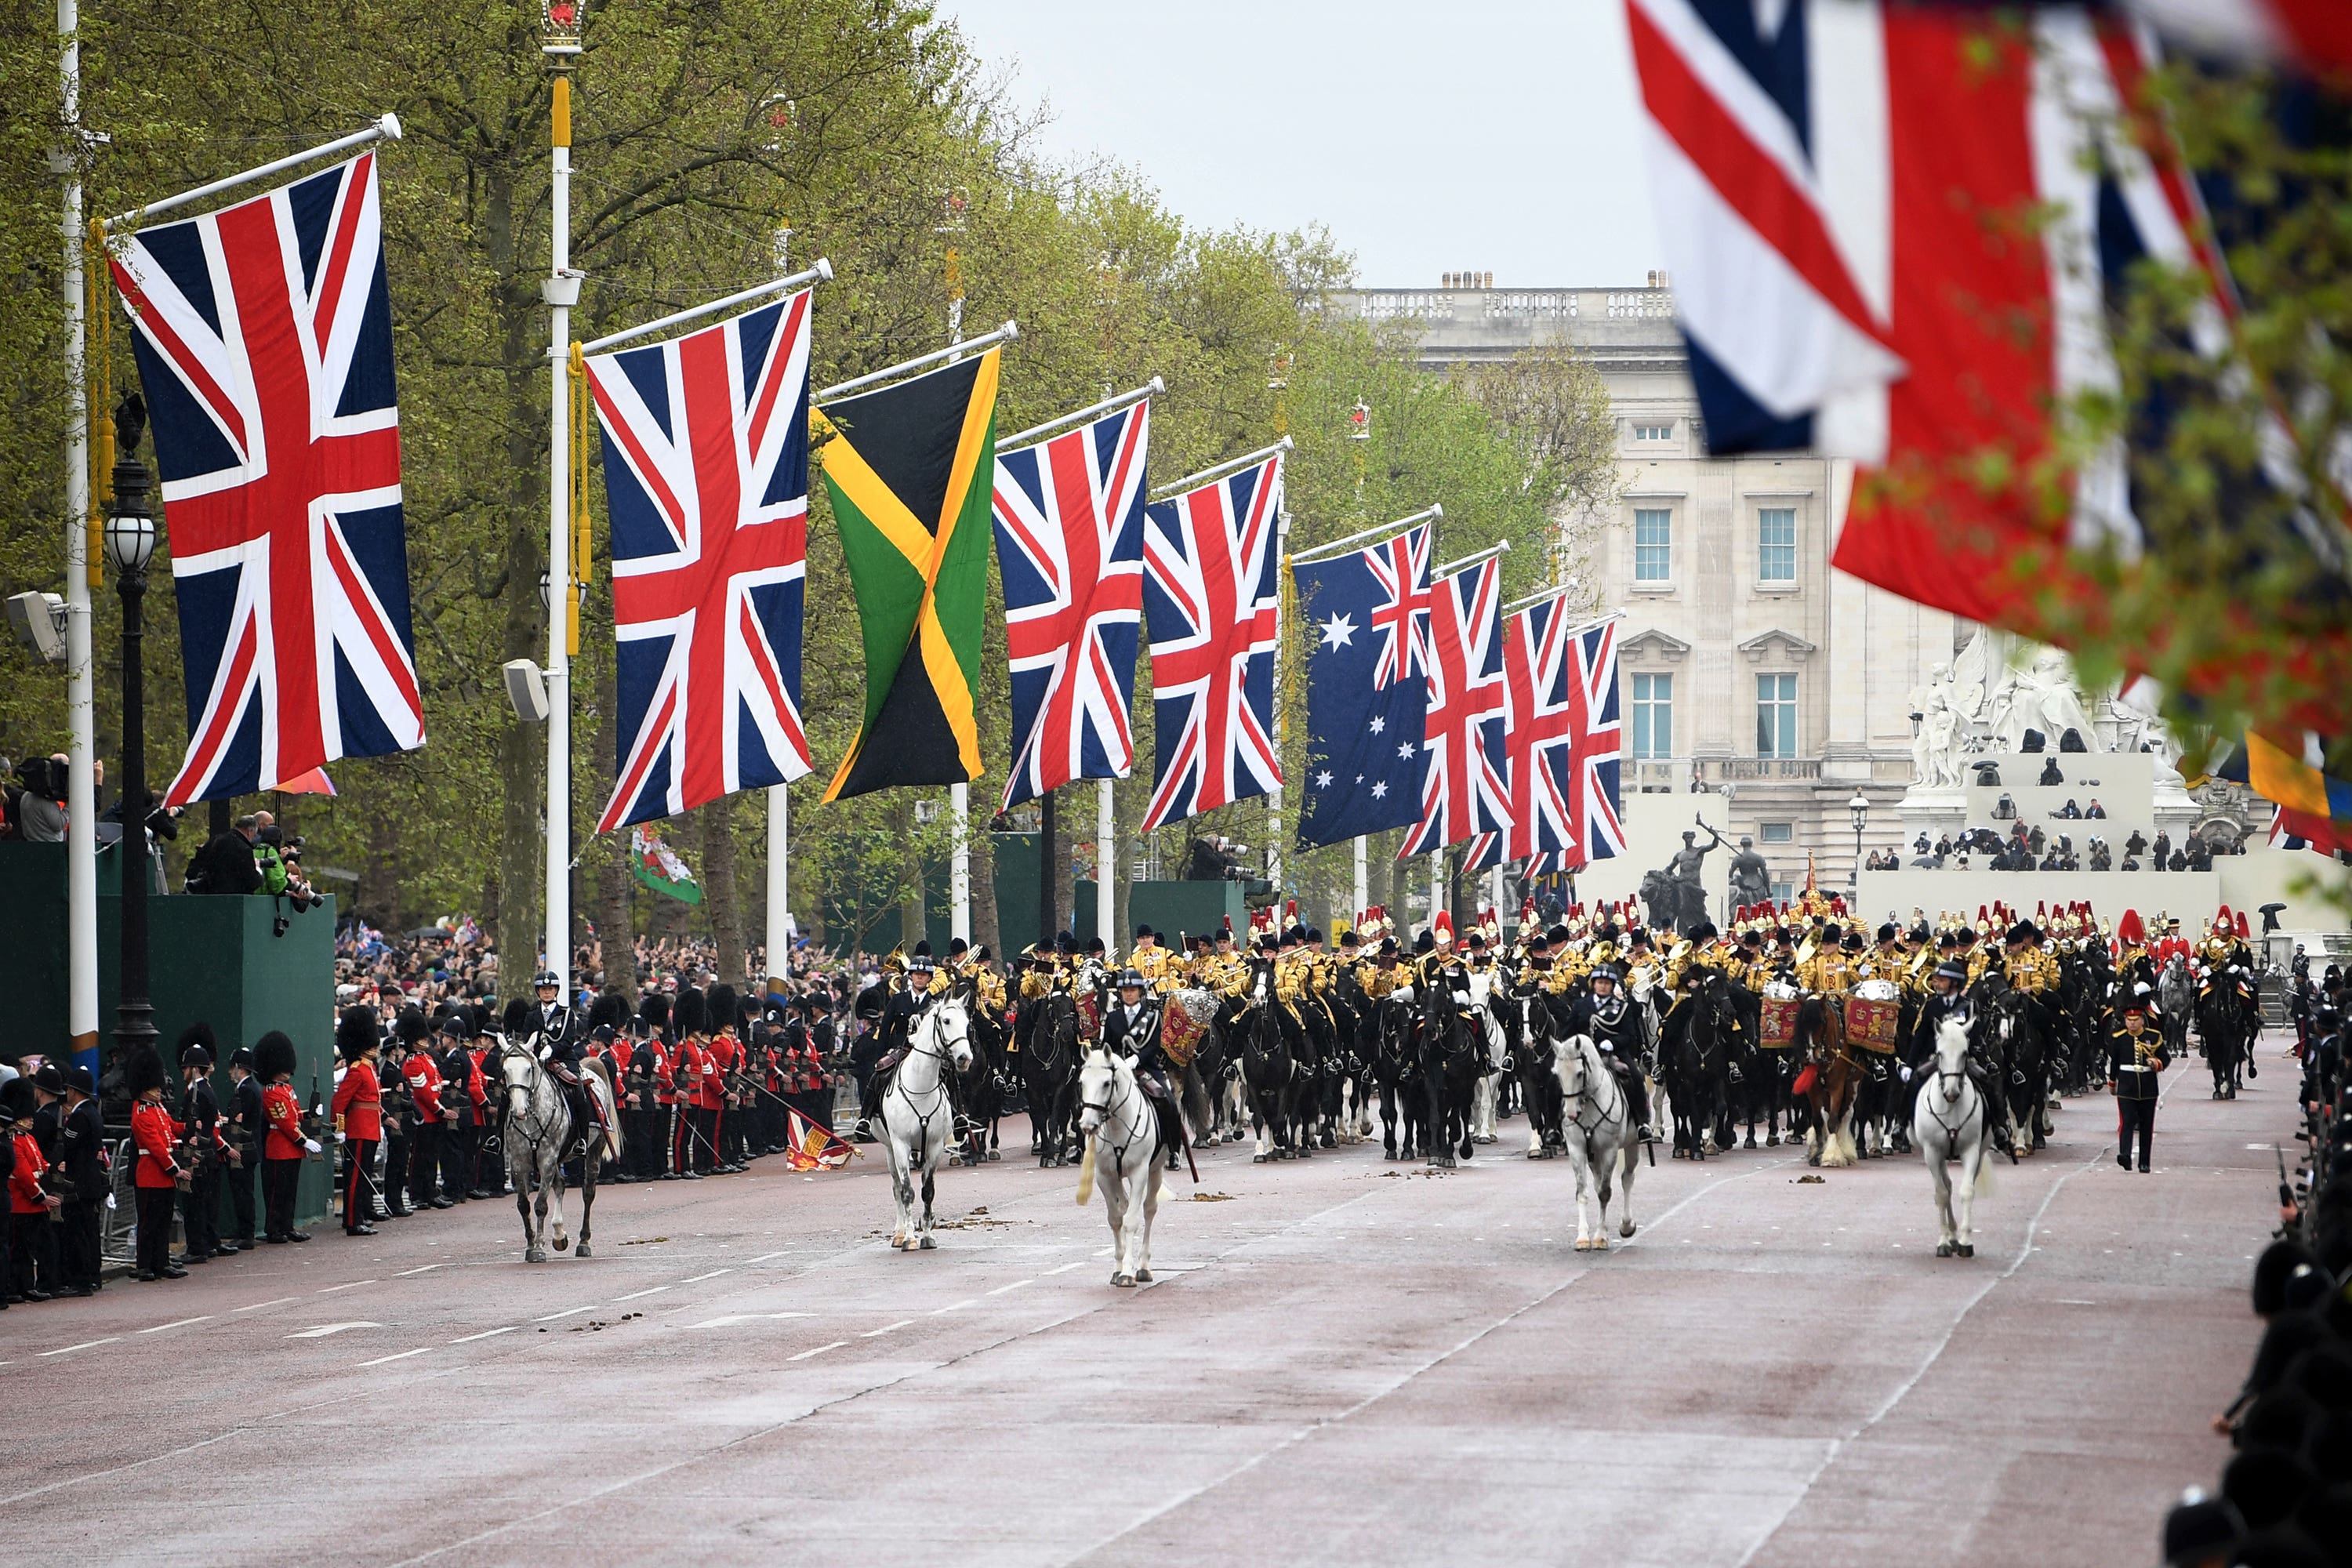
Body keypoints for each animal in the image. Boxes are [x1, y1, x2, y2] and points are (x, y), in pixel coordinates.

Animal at [880, 992, 969, 1250]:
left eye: (967, 1024)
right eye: (946, 1021)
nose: (964, 1058)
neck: (920, 1088)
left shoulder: (934, 1146)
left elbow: (927, 1191)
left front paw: (927, 1234)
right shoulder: (901, 1145)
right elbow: (907, 1192)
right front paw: (910, 1238)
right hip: (890, 1149)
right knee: (897, 1188)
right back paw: (900, 1234)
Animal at [1077, 1044, 1167, 1288]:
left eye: (1107, 1083)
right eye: (1081, 1082)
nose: (1088, 1125)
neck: (1118, 1126)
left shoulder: (1139, 1173)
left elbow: (1131, 1221)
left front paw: (1128, 1272)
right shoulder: (1104, 1175)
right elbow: (1116, 1219)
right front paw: (1118, 1269)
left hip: (1156, 1171)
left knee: (1149, 1209)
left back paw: (1143, 1266)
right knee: (1124, 1205)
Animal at [1543, 1029, 1637, 1250]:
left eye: (1579, 1073)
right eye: (1558, 1074)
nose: (1571, 1114)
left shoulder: (1610, 1150)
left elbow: (1605, 1192)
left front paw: (1601, 1236)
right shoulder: (1577, 1149)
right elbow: (1583, 1192)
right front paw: (1583, 1238)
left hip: (1631, 1145)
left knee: (1627, 1179)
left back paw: (1626, 1225)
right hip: (1594, 1155)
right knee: (1598, 1182)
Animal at [1910, 1020, 1985, 1260]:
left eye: (1965, 1053)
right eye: (1940, 1053)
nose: (1951, 1093)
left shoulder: (1972, 1150)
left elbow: (1967, 1191)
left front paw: (1965, 1242)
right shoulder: (1932, 1152)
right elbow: (1941, 1194)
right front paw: (1943, 1242)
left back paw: (1956, 1237)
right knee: (1946, 1186)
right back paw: (1950, 1236)